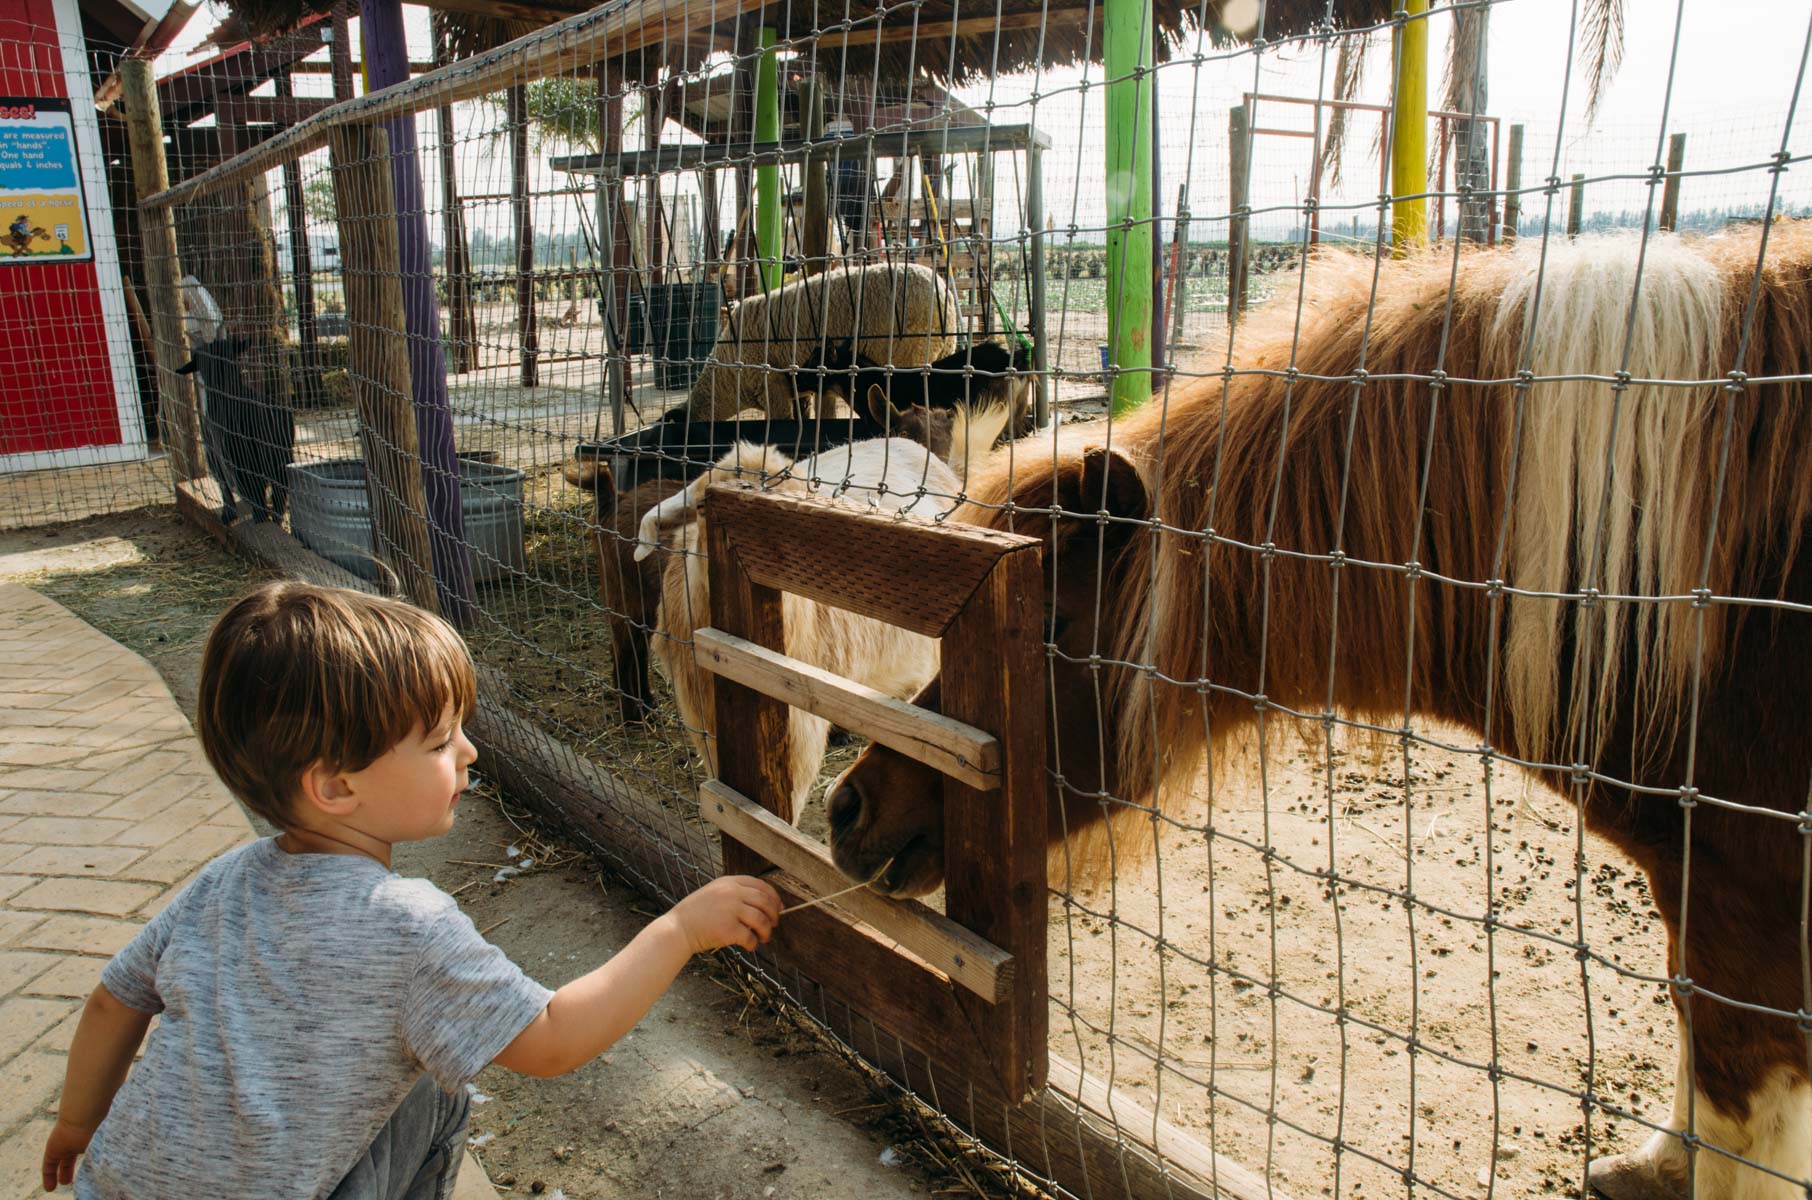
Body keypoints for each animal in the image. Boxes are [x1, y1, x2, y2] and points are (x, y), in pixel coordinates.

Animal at [677, 266, 963, 425]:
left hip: (911, 352)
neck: (726, 380)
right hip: (941, 348)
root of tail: (945, 295)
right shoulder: (795, 393)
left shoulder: (772, 388)